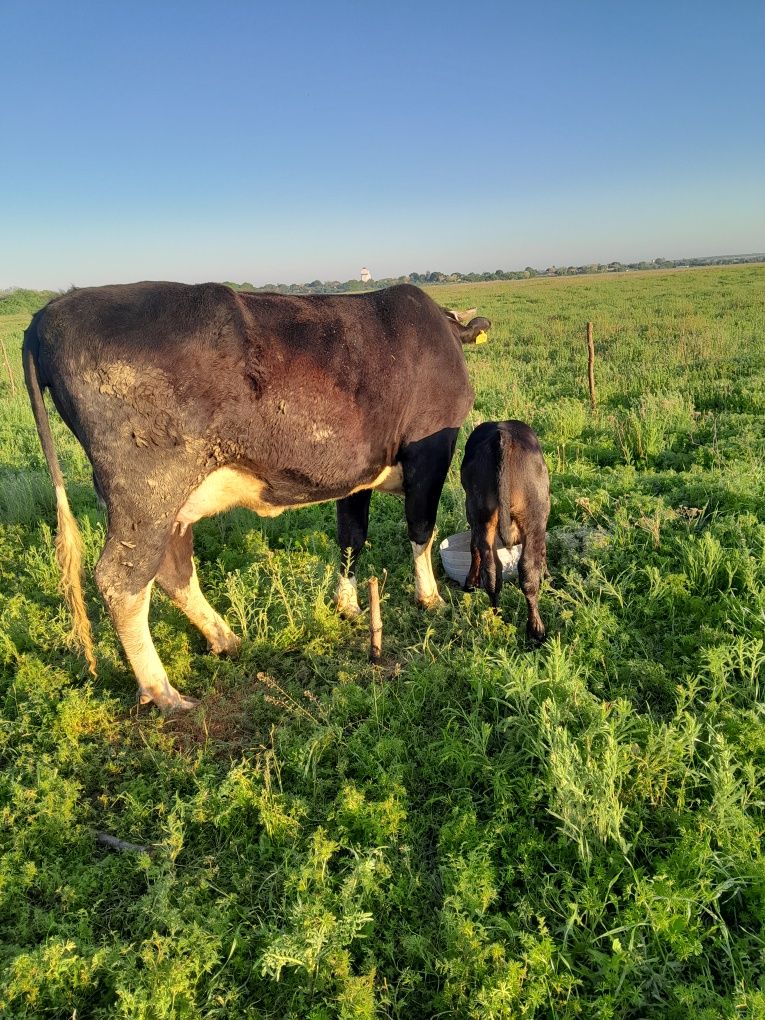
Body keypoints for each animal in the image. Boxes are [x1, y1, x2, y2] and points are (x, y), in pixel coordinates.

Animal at [25, 279, 491, 709]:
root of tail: (48, 314)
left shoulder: (358, 473)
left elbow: (351, 537)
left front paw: (347, 605)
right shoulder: (430, 451)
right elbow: (421, 527)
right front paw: (430, 598)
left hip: (169, 503)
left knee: (172, 570)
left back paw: (224, 638)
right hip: (146, 492)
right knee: (122, 581)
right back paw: (163, 692)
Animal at [461, 420, 550, 640]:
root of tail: (501, 435)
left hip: (481, 513)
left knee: (492, 571)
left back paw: (496, 618)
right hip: (535, 513)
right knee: (528, 571)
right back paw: (537, 630)